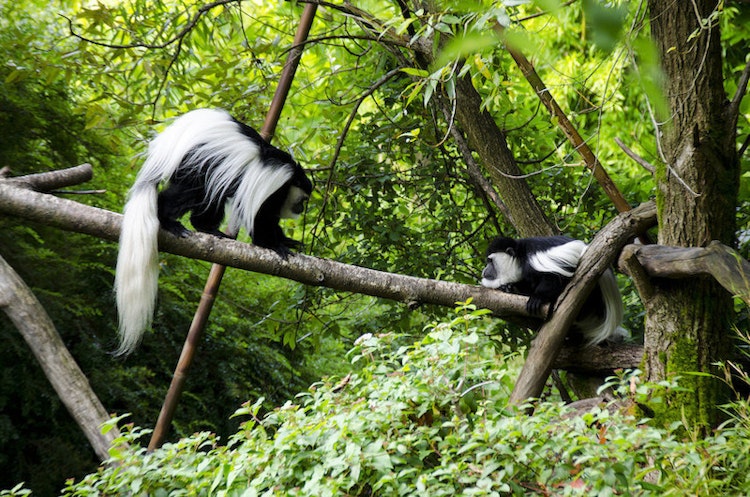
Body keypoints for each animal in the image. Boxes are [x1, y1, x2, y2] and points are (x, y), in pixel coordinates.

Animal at [114, 109, 312, 356]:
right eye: (302, 199)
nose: (301, 208)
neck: (291, 178)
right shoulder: (274, 186)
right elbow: (260, 217)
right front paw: (273, 245)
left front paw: (286, 240)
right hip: (198, 162)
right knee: (187, 192)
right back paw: (169, 222)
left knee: (210, 196)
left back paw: (209, 229)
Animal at [482, 235, 628, 344]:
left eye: (490, 261)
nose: (484, 270)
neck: (520, 258)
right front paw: (509, 288)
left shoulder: (535, 258)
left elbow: (554, 278)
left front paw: (537, 298)